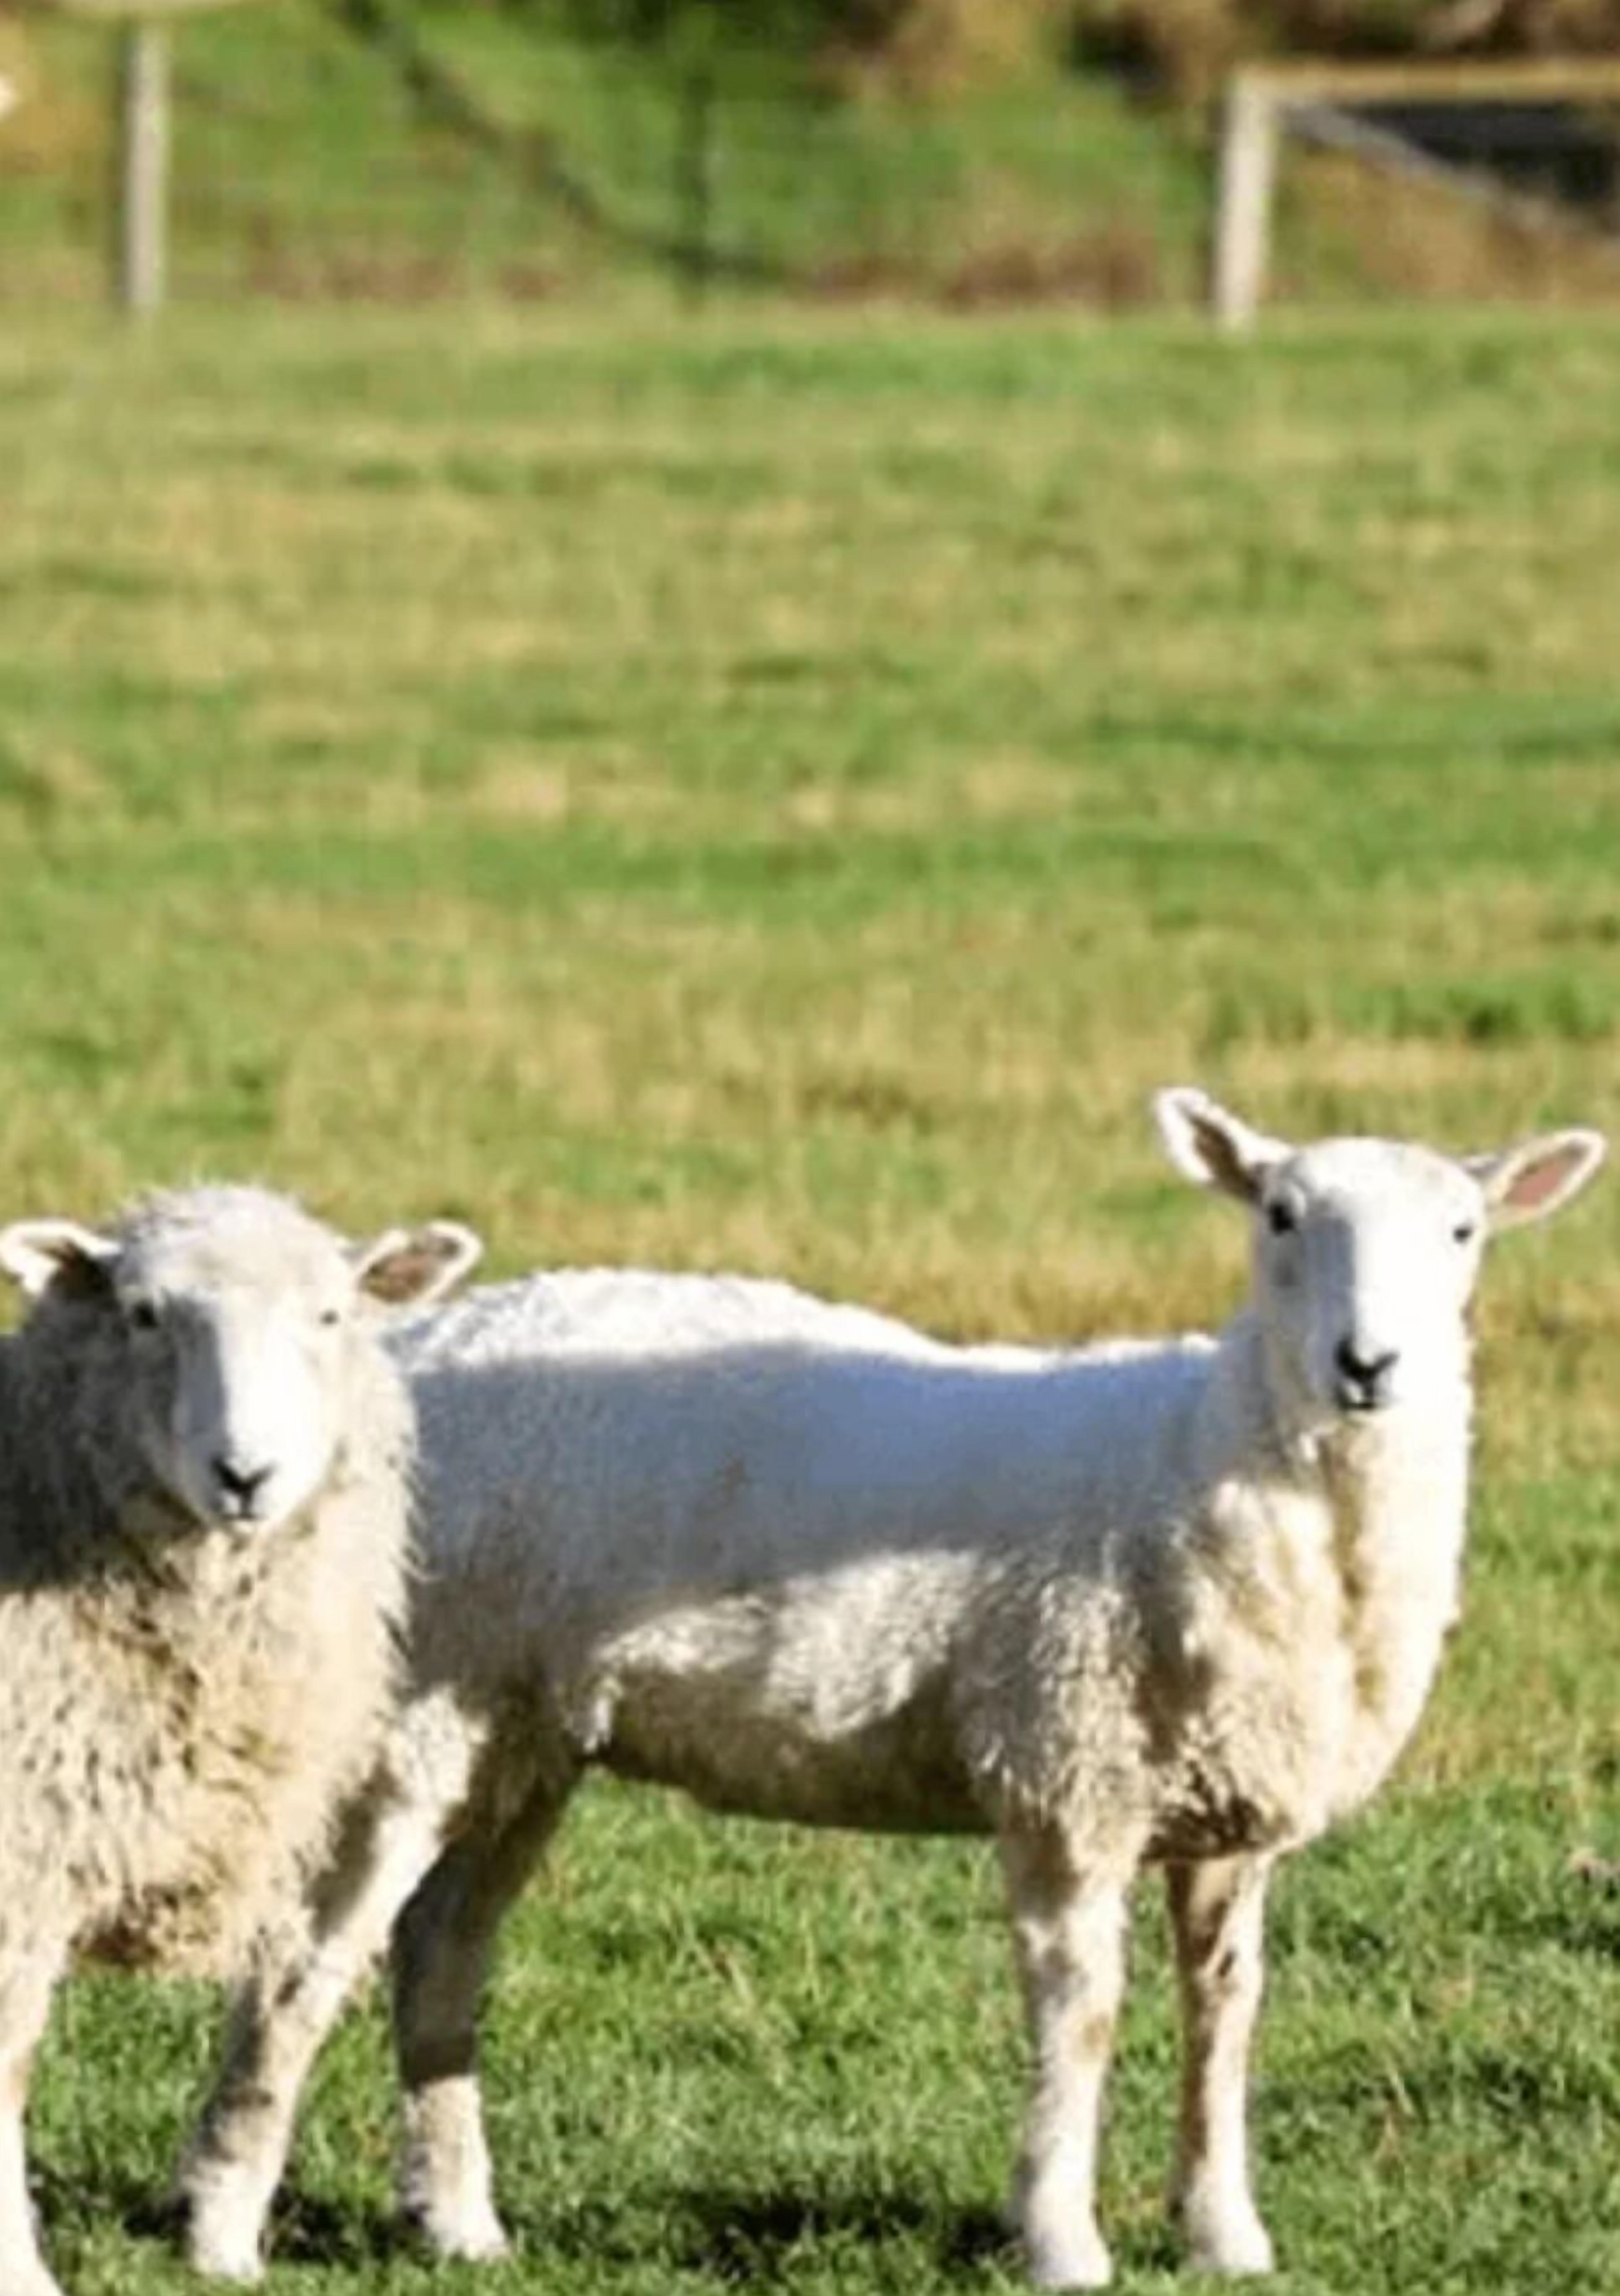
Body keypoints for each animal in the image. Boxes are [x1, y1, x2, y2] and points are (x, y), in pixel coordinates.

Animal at [0, 1182, 480, 2296]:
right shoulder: (19, 1858)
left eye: (332, 1315)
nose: (245, 1475)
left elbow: (283, 2009)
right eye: (142, 1315)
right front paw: (18, 2269)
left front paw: (222, 2246)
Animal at [179, 1096, 1605, 2289]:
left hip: (519, 1721)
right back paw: (221, 2224)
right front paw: (1064, 2241)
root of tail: (413, 1339)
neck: (1199, 1457)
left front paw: (1225, 2234)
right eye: (1280, 1216)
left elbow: (1225, 2014)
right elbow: (1083, 2019)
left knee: (440, 1947)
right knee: (302, 1959)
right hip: (404, 1703)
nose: (1369, 1363)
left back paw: (459, 2220)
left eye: (1465, 1229)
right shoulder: (1066, 1770)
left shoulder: (1228, 1806)